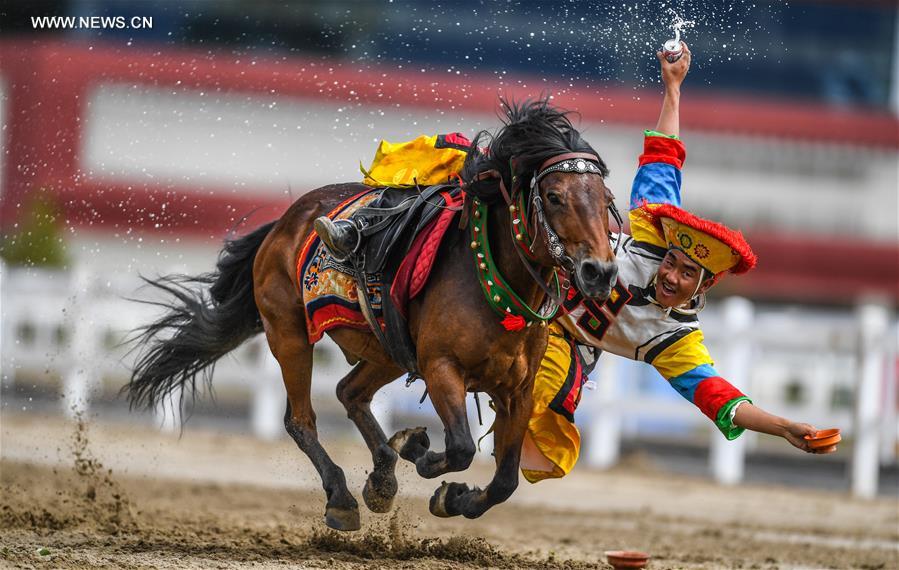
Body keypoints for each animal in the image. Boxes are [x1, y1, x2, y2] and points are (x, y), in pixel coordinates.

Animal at [126, 98, 619, 532]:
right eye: (553, 196)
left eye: (605, 198)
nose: (599, 271)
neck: (489, 279)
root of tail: (285, 223)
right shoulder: (442, 368)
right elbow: (460, 447)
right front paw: (420, 452)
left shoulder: (518, 391)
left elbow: (505, 481)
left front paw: (450, 495)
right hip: (288, 334)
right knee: (301, 420)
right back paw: (343, 497)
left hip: (384, 351)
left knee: (349, 392)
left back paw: (382, 477)